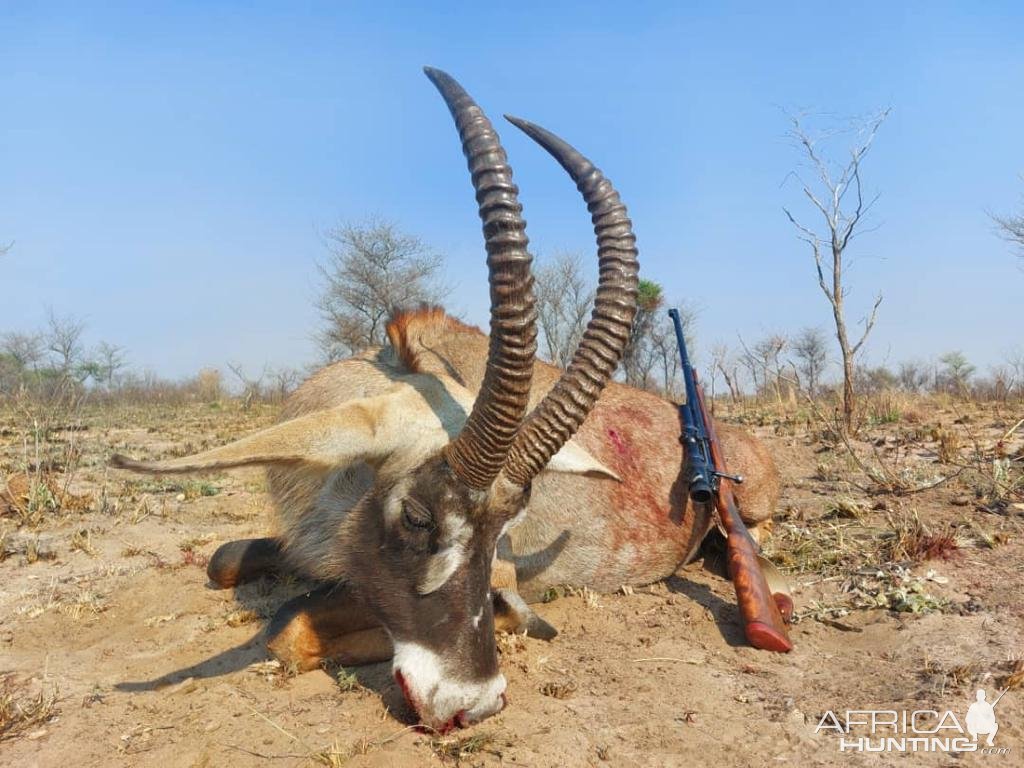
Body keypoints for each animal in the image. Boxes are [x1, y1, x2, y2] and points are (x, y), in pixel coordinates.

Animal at [114, 67, 774, 733]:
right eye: (416, 516)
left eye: (505, 527)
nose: (472, 703)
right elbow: (224, 560)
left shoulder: (500, 571)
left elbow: (288, 626)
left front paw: (516, 620)